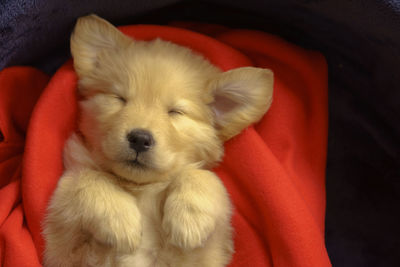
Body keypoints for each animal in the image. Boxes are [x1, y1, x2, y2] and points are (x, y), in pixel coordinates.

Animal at [44, 15, 276, 267]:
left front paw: (190, 219)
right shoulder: (62, 243)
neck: (140, 187)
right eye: (120, 99)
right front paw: (120, 220)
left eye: (175, 112)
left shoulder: (205, 252)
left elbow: (204, 177)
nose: (139, 139)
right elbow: (84, 179)